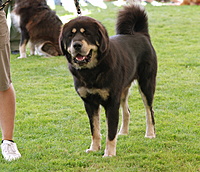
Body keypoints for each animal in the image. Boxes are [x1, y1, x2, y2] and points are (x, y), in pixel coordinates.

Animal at [59, 4, 158, 157]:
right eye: (70, 35)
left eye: (87, 34)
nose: (76, 45)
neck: (91, 71)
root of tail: (141, 34)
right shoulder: (89, 103)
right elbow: (95, 130)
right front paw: (94, 148)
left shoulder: (111, 103)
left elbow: (110, 133)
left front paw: (109, 153)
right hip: (123, 90)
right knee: (127, 111)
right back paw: (123, 132)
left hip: (146, 85)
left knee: (149, 111)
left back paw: (150, 134)